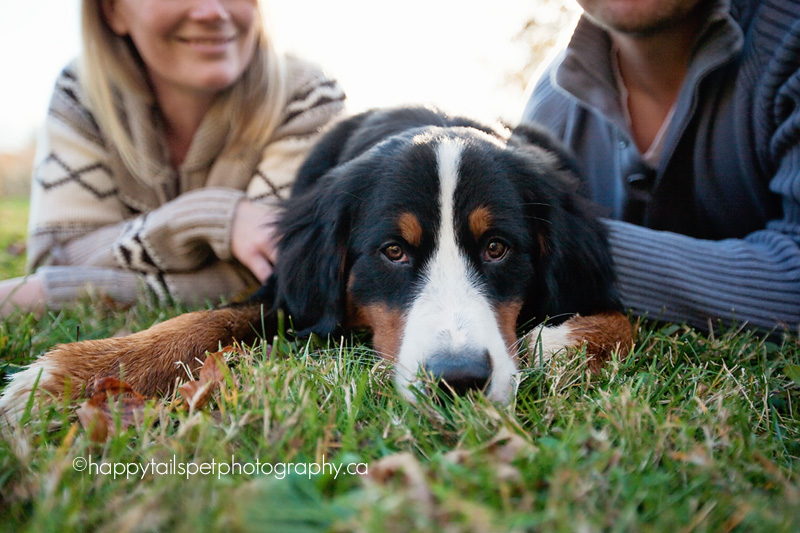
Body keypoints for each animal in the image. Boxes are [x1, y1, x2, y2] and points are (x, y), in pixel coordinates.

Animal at [0, 106, 636, 418]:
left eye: (497, 247)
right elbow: (200, 322)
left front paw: (561, 342)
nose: (458, 379)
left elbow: (623, 319)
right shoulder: (283, 293)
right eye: (393, 251)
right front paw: (69, 373)